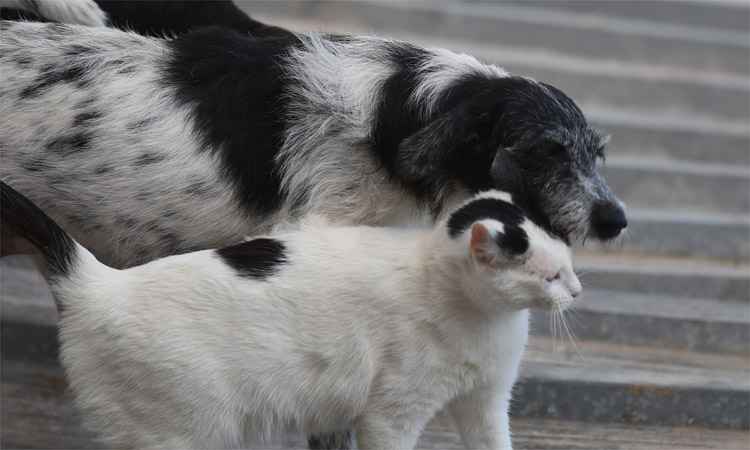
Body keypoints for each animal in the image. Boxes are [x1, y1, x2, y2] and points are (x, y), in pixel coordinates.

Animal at [1, 183, 580, 450]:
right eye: (553, 276)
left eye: (571, 265)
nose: (576, 291)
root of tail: (96, 283)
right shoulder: (391, 415)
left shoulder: (485, 403)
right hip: (185, 433)